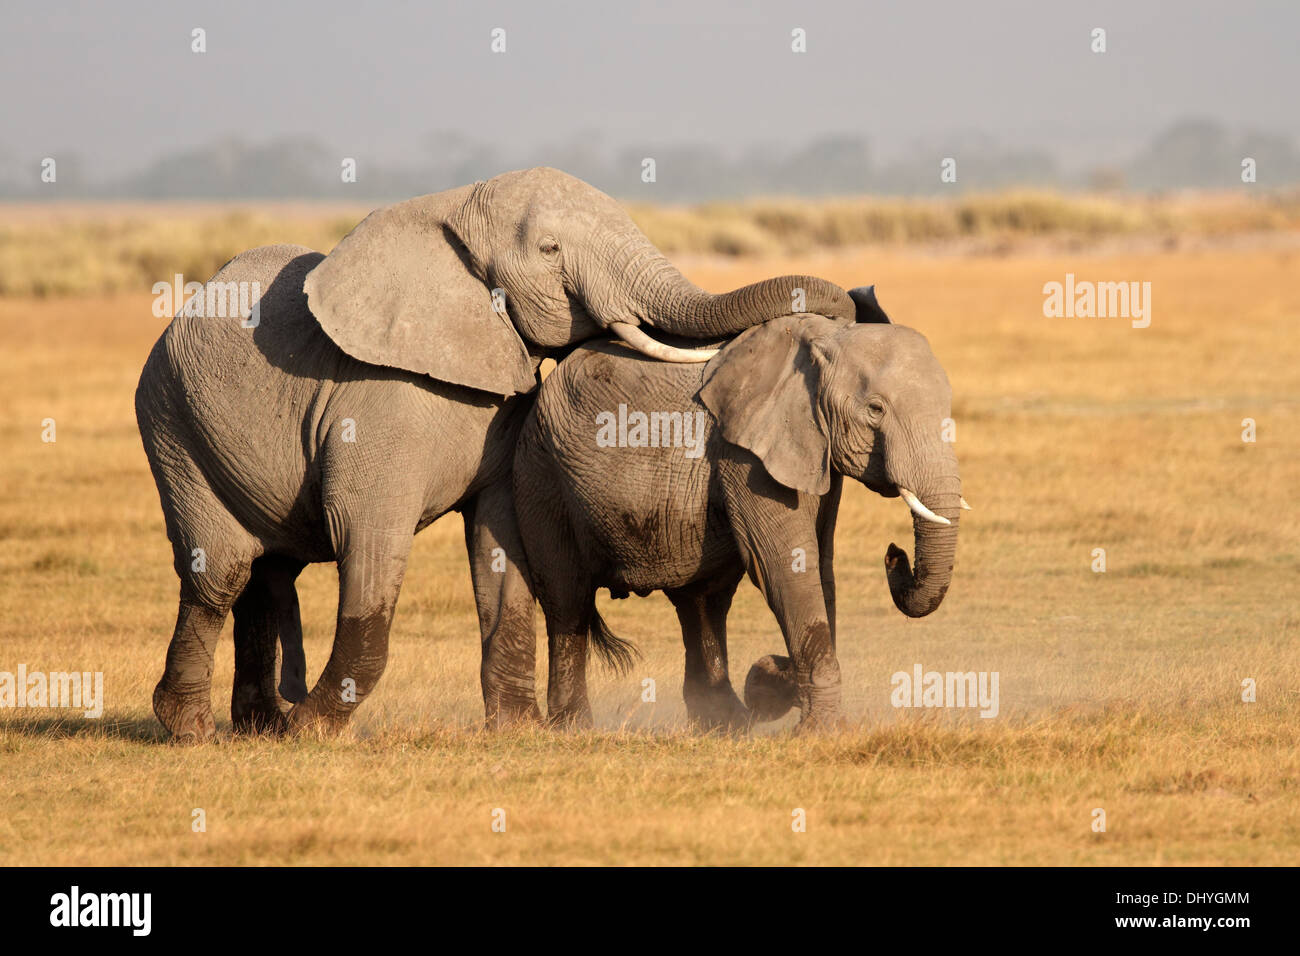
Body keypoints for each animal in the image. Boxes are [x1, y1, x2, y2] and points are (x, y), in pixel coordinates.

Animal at [134, 167, 852, 743]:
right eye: (551, 250)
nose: (848, 309)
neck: (454, 211)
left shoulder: (505, 416)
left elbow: (499, 542)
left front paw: (517, 728)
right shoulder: (376, 402)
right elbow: (367, 536)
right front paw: (312, 732)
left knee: (263, 571)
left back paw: (255, 727)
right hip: (172, 422)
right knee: (222, 568)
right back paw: (193, 729)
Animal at [512, 287, 961, 728]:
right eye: (875, 410)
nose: (894, 553)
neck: (819, 343)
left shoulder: (815, 450)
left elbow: (819, 564)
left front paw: (781, 690)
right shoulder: (745, 455)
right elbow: (784, 566)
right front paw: (821, 728)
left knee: (703, 601)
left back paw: (725, 721)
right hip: (542, 474)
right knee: (567, 599)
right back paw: (573, 725)